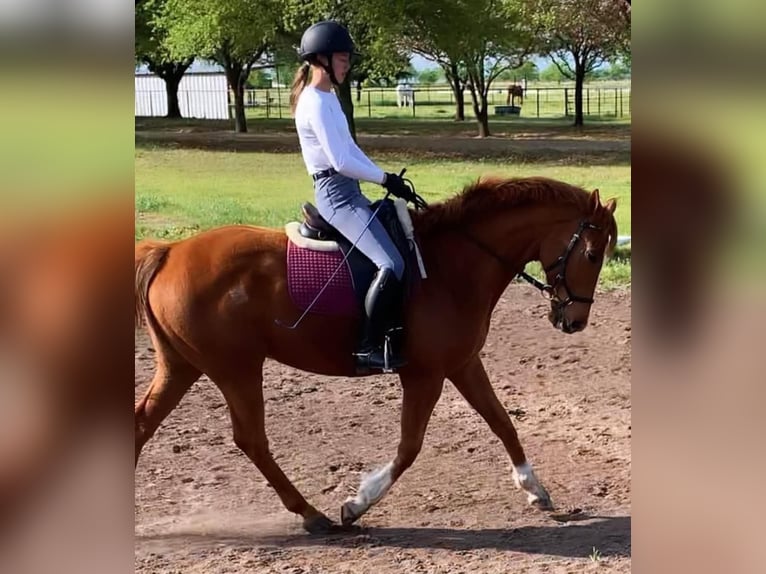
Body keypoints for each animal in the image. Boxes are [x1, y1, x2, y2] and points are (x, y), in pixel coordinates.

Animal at [136, 176, 616, 536]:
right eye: (593, 254)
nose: (575, 321)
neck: (453, 265)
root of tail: (171, 252)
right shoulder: (424, 375)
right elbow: (409, 446)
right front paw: (357, 503)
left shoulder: (462, 364)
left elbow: (502, 422)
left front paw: (535, 489)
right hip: (236, 369)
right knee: (251, 440)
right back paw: (313, 515)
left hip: (183, 366)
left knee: (143, 424)